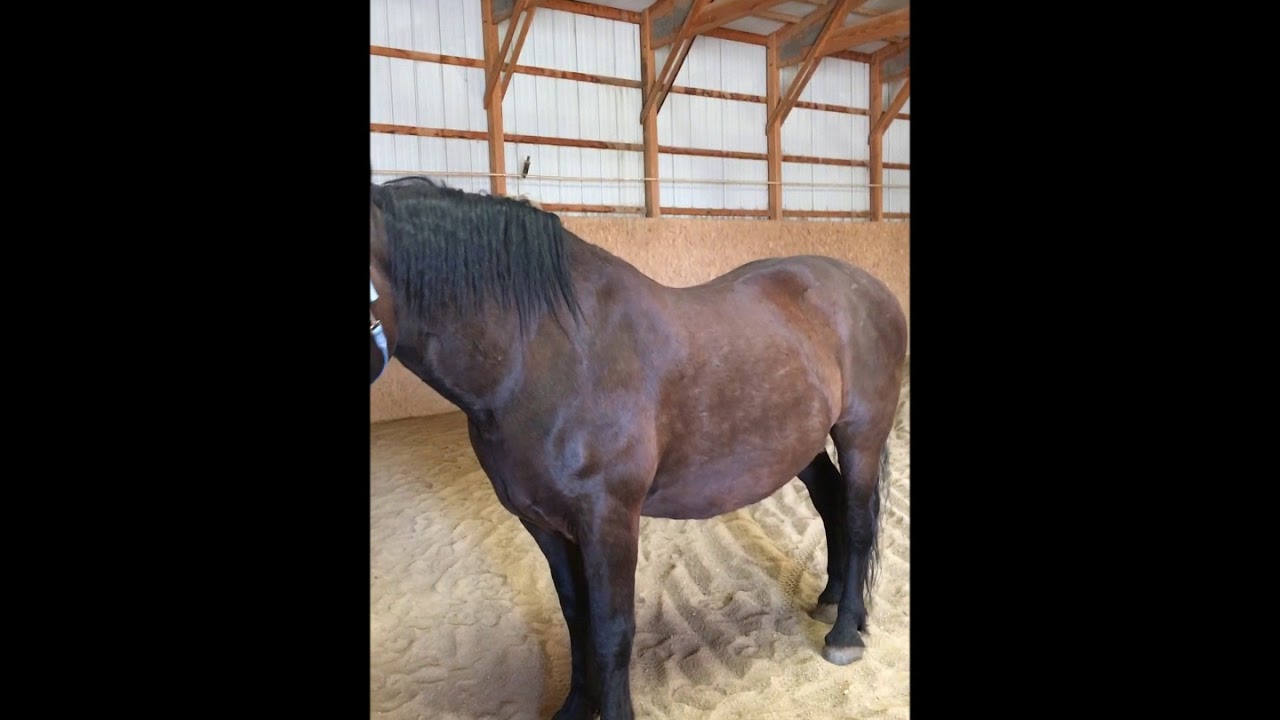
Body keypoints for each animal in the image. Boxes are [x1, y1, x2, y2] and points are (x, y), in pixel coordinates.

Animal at [369, 175, 908, 720]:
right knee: (831, 503)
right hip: (800, 444)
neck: (541, 354)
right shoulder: (541, 522)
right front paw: (575, 706)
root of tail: (871, 287)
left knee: (858, 521)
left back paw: (845, 632)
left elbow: (611, 631)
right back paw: (831, 599)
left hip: (861, 434)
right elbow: (576, 618)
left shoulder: (609, 518)